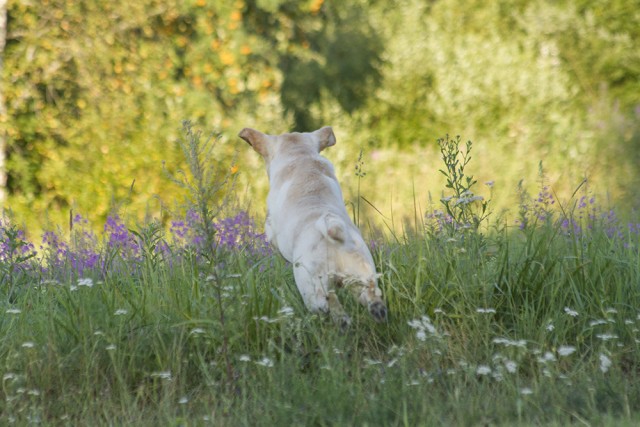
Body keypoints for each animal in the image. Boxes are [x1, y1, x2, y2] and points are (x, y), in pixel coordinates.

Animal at [238, 126, 387, 327]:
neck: (300, 157)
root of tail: (335, 237)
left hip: (310, 289)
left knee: (331, 305)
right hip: (364, 279)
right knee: (372, 302)